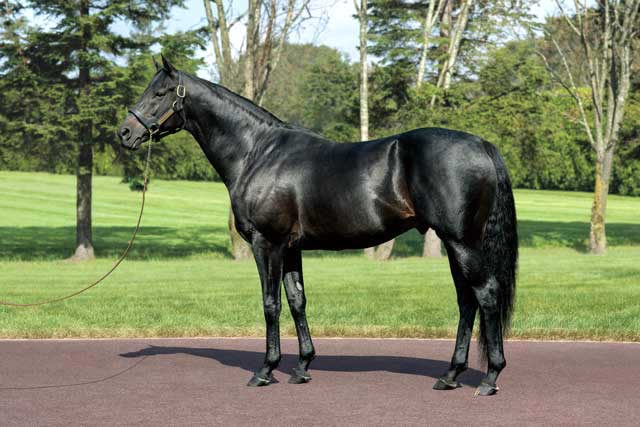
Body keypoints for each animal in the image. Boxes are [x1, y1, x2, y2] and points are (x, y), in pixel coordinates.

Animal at [118, 56, 518, 396]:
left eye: (159, 93)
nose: (124, 132)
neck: (257, 152)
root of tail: (481, 144)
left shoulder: (267, 243)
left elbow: (270, 304)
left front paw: (266, 370)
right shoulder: (291, 247)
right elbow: (297, 300)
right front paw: (302, 367)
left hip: (462, 242)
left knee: (485, 294)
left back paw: (490, 377)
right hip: (454, 244)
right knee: (466, 301)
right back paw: (450, 375)